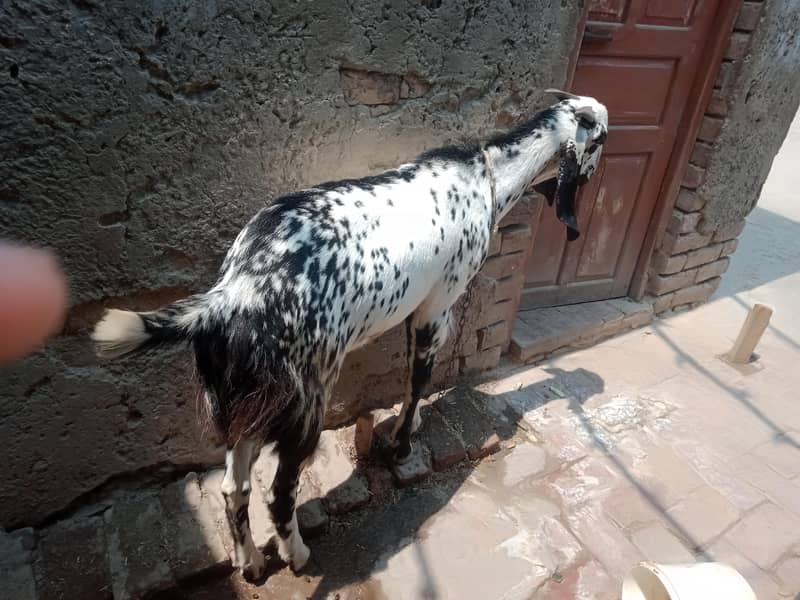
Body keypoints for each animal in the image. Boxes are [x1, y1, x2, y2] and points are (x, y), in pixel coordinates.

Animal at [91, 89, 608, 580]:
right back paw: (297, 554)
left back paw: (251, 563)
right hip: (306, 399)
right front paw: (401, 445)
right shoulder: (436, 310)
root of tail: (236, 291)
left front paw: (405, 429)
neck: (486, 177)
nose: (592, 182)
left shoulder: (413, 312)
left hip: (250, 404)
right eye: (601, 138)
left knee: (234, 487)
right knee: (279, 493)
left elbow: (408, 382)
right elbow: (418, 380)